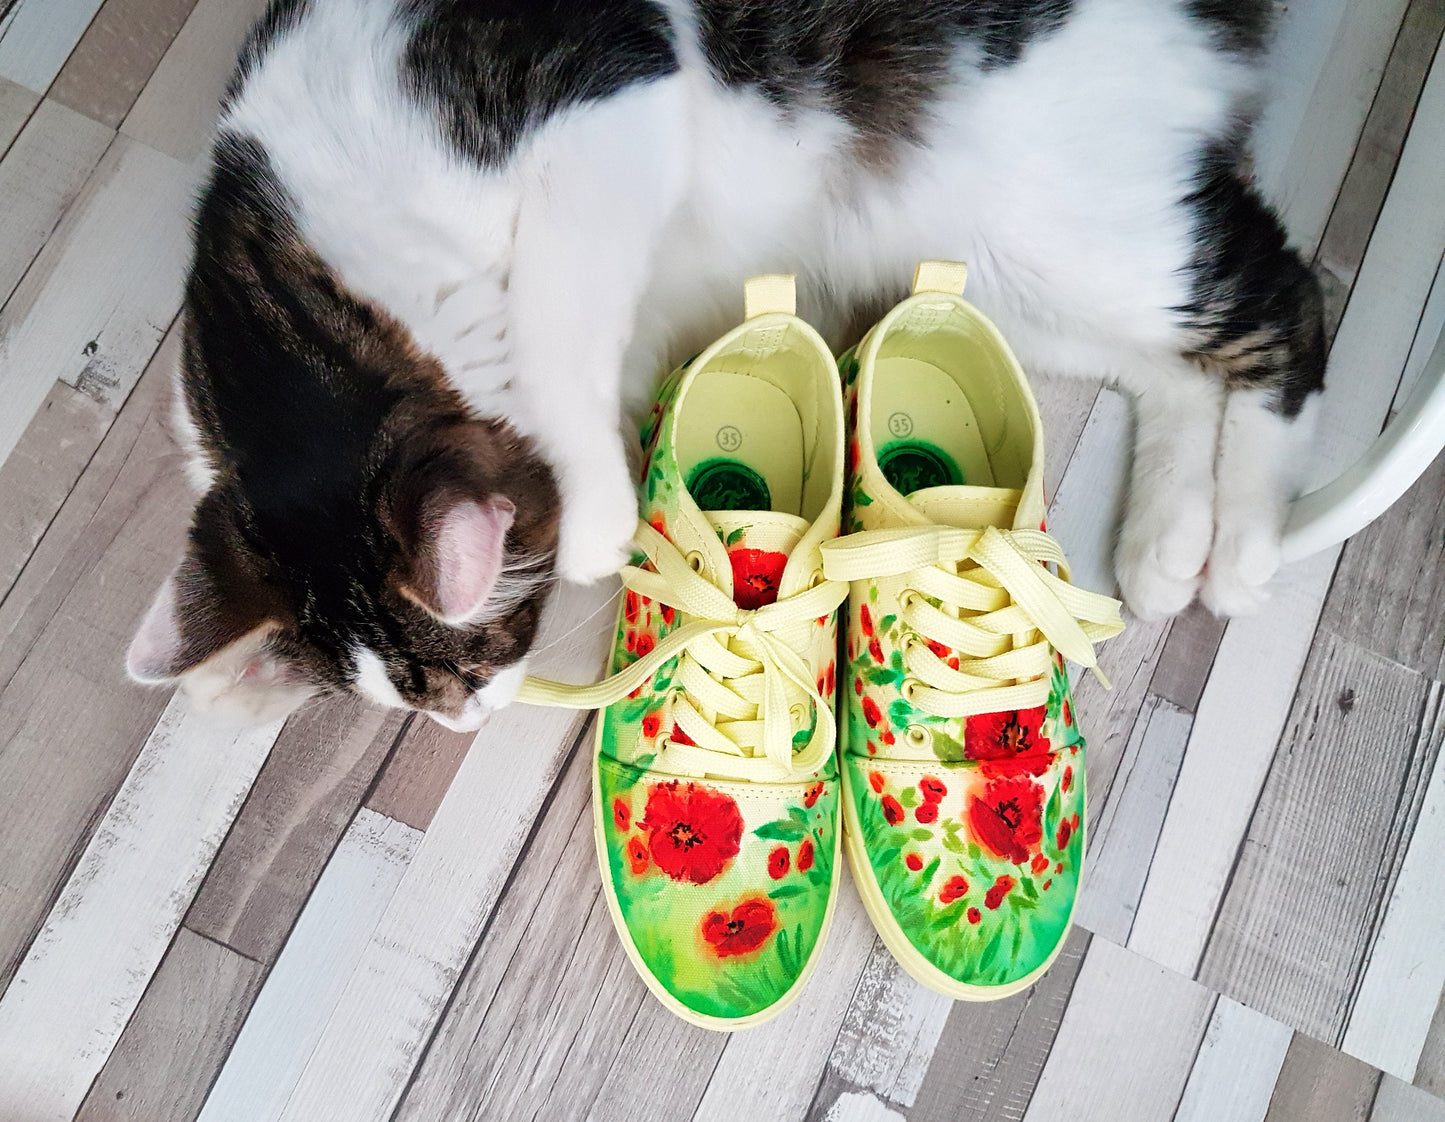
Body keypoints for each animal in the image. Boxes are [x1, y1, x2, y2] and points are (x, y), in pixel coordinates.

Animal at [126, 0, 1324, 731]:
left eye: (470, 664)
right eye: (410, 701)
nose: (466, 717)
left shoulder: (611, 100)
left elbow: (557, 312)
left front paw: (597, 517)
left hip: (1072, 231)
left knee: (1284, 305)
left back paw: (1244, 549)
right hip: (1005, 269)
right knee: (1179, 368)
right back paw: (1167, 543)